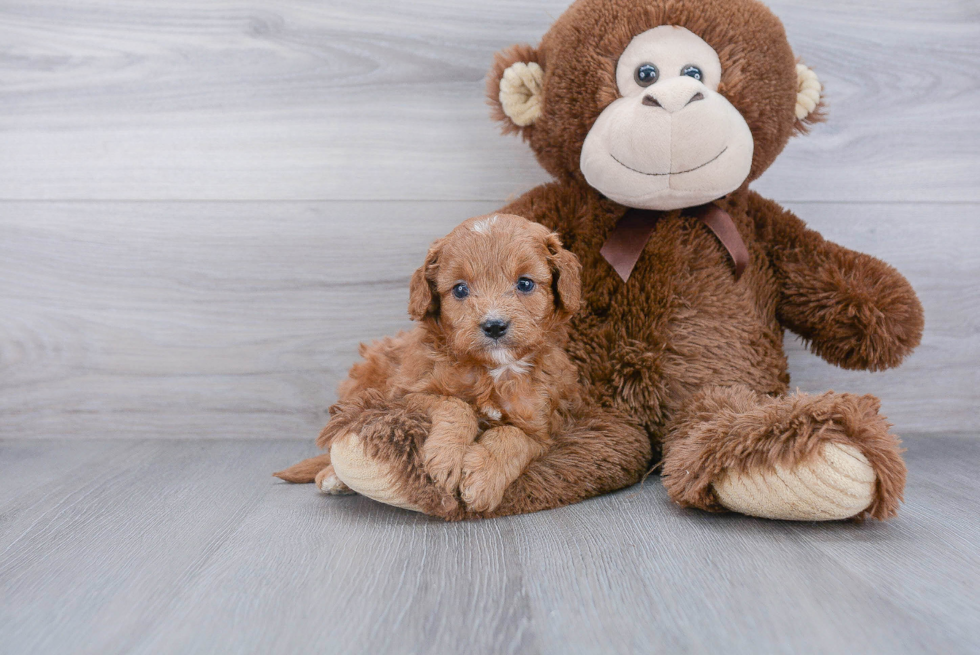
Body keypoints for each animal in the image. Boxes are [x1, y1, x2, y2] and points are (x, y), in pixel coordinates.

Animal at [276, 213, 580, 516]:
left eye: (525, 284)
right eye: (460, 289)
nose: (494, 326)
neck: (493, 369)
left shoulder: (543, 429)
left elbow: (513, 436)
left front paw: (483, 479)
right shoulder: (402, 396)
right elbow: (454, 404)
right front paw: (445, 457)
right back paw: (332, 476)